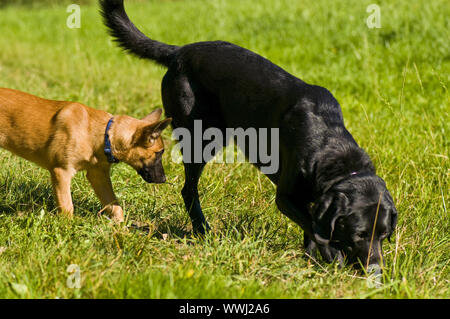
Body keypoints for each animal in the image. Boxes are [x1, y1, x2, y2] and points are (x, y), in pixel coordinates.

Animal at [0, 87, 171, 222]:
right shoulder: (61, 172)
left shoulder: (98, 176)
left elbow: (114, 205)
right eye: (159, 153)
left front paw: (121, 229)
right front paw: (67, 230)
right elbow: (67, 207)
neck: (102, 134)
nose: (163, 179)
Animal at [99, 0, 398, 272]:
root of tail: (179, 52)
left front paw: (312, 258)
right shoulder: (285, 197)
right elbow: (314, 226)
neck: (332, 148)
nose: (376, 270)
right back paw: (202, 229)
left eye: (384, 235)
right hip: (201, 138)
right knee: (189, 189)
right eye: (359, 233)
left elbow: (313, 226)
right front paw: (332, 256)